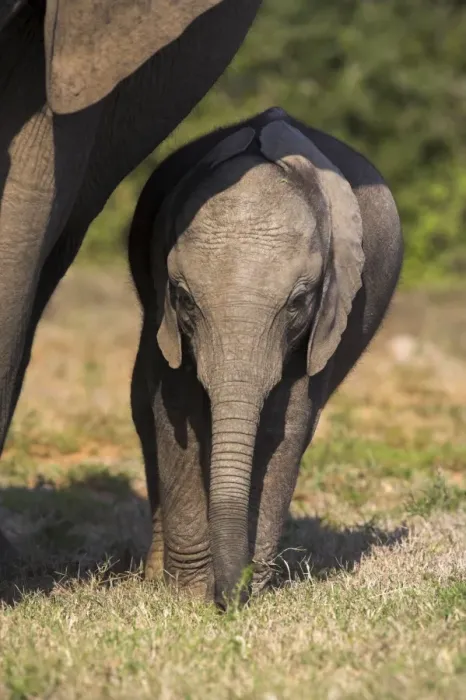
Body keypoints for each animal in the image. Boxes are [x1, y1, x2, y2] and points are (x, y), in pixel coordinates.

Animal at [128, 106, 404, 606]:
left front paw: (248, 588)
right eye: (184, 298)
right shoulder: (164, 307)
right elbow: (174, 409)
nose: (228, 601)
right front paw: (190, 595)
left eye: (297, 302)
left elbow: (285, 423)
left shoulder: (330, 312)